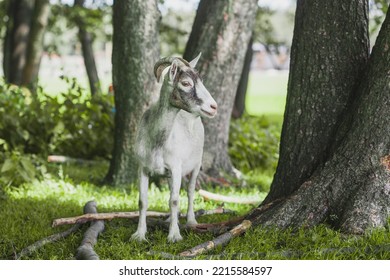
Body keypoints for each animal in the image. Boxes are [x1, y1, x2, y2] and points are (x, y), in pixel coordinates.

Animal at [131, 53, 216, 242]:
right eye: (186, 83)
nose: (213, 107)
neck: (158, 142)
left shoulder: (177, 168)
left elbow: (175, 200)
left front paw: (174, 236)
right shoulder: (143, 168)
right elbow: (142, 201)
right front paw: (139, 235)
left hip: (196, 165)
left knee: (190, 191)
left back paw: (190, 221)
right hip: (170, 174)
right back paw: (171, 219)